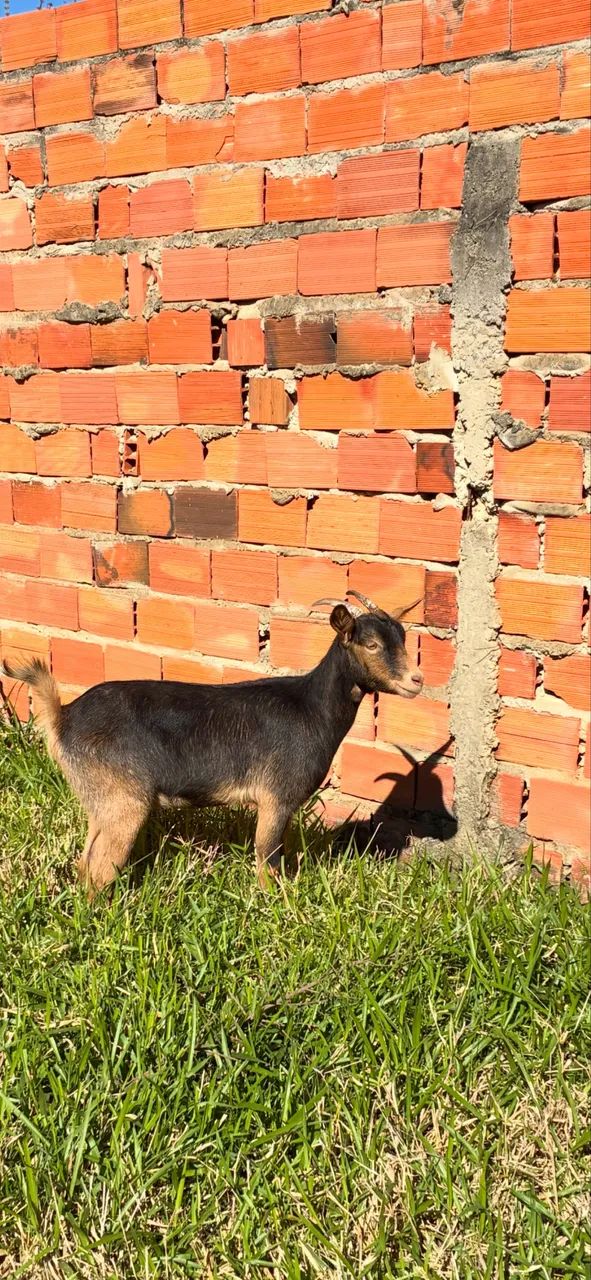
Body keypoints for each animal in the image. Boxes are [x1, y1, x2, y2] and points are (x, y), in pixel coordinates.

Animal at [4, 591, 423, 895]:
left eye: (403, 638)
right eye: (370, 645)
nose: (416, 680)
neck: (311, 707)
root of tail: (63, 717)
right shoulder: (276, 797)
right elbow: (266, 858)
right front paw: (276, 904)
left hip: (100, 798)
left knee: (87, 859)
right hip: (125, 799)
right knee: (100, 868)